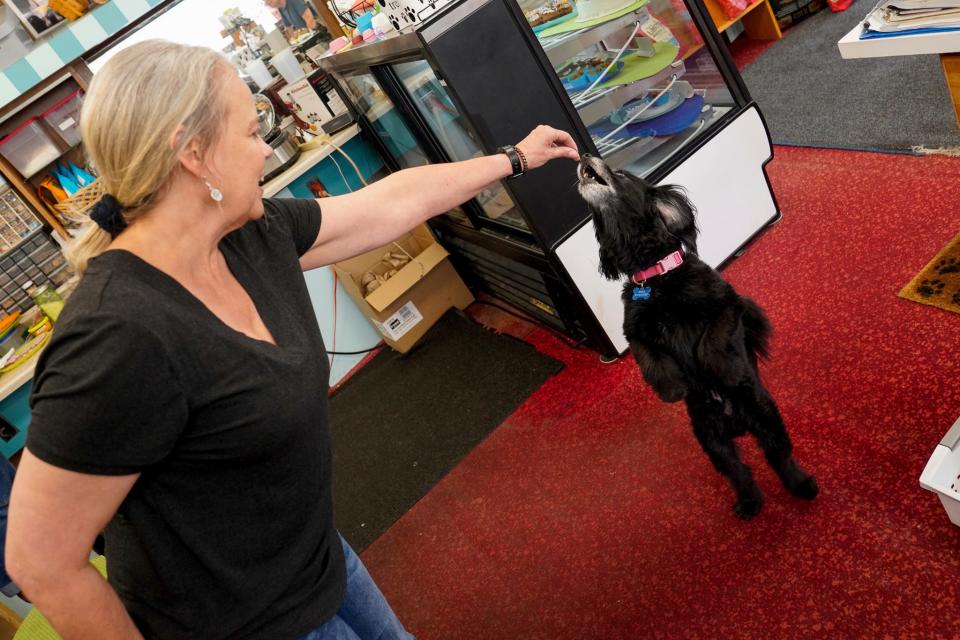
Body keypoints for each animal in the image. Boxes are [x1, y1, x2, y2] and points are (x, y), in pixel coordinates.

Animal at [576, 156, 816, 520]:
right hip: (712, 441)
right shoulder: (634, 332)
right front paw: (672, 387)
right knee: (740, 473)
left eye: (622, 175)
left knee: (779, 457)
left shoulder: (728, 303)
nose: (584, 157)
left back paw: (803, 485)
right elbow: (650, 358)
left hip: (764, 415)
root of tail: (736, 423)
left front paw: (722, 368)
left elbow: (711, 339)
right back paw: (749, 504)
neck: (656, 278)